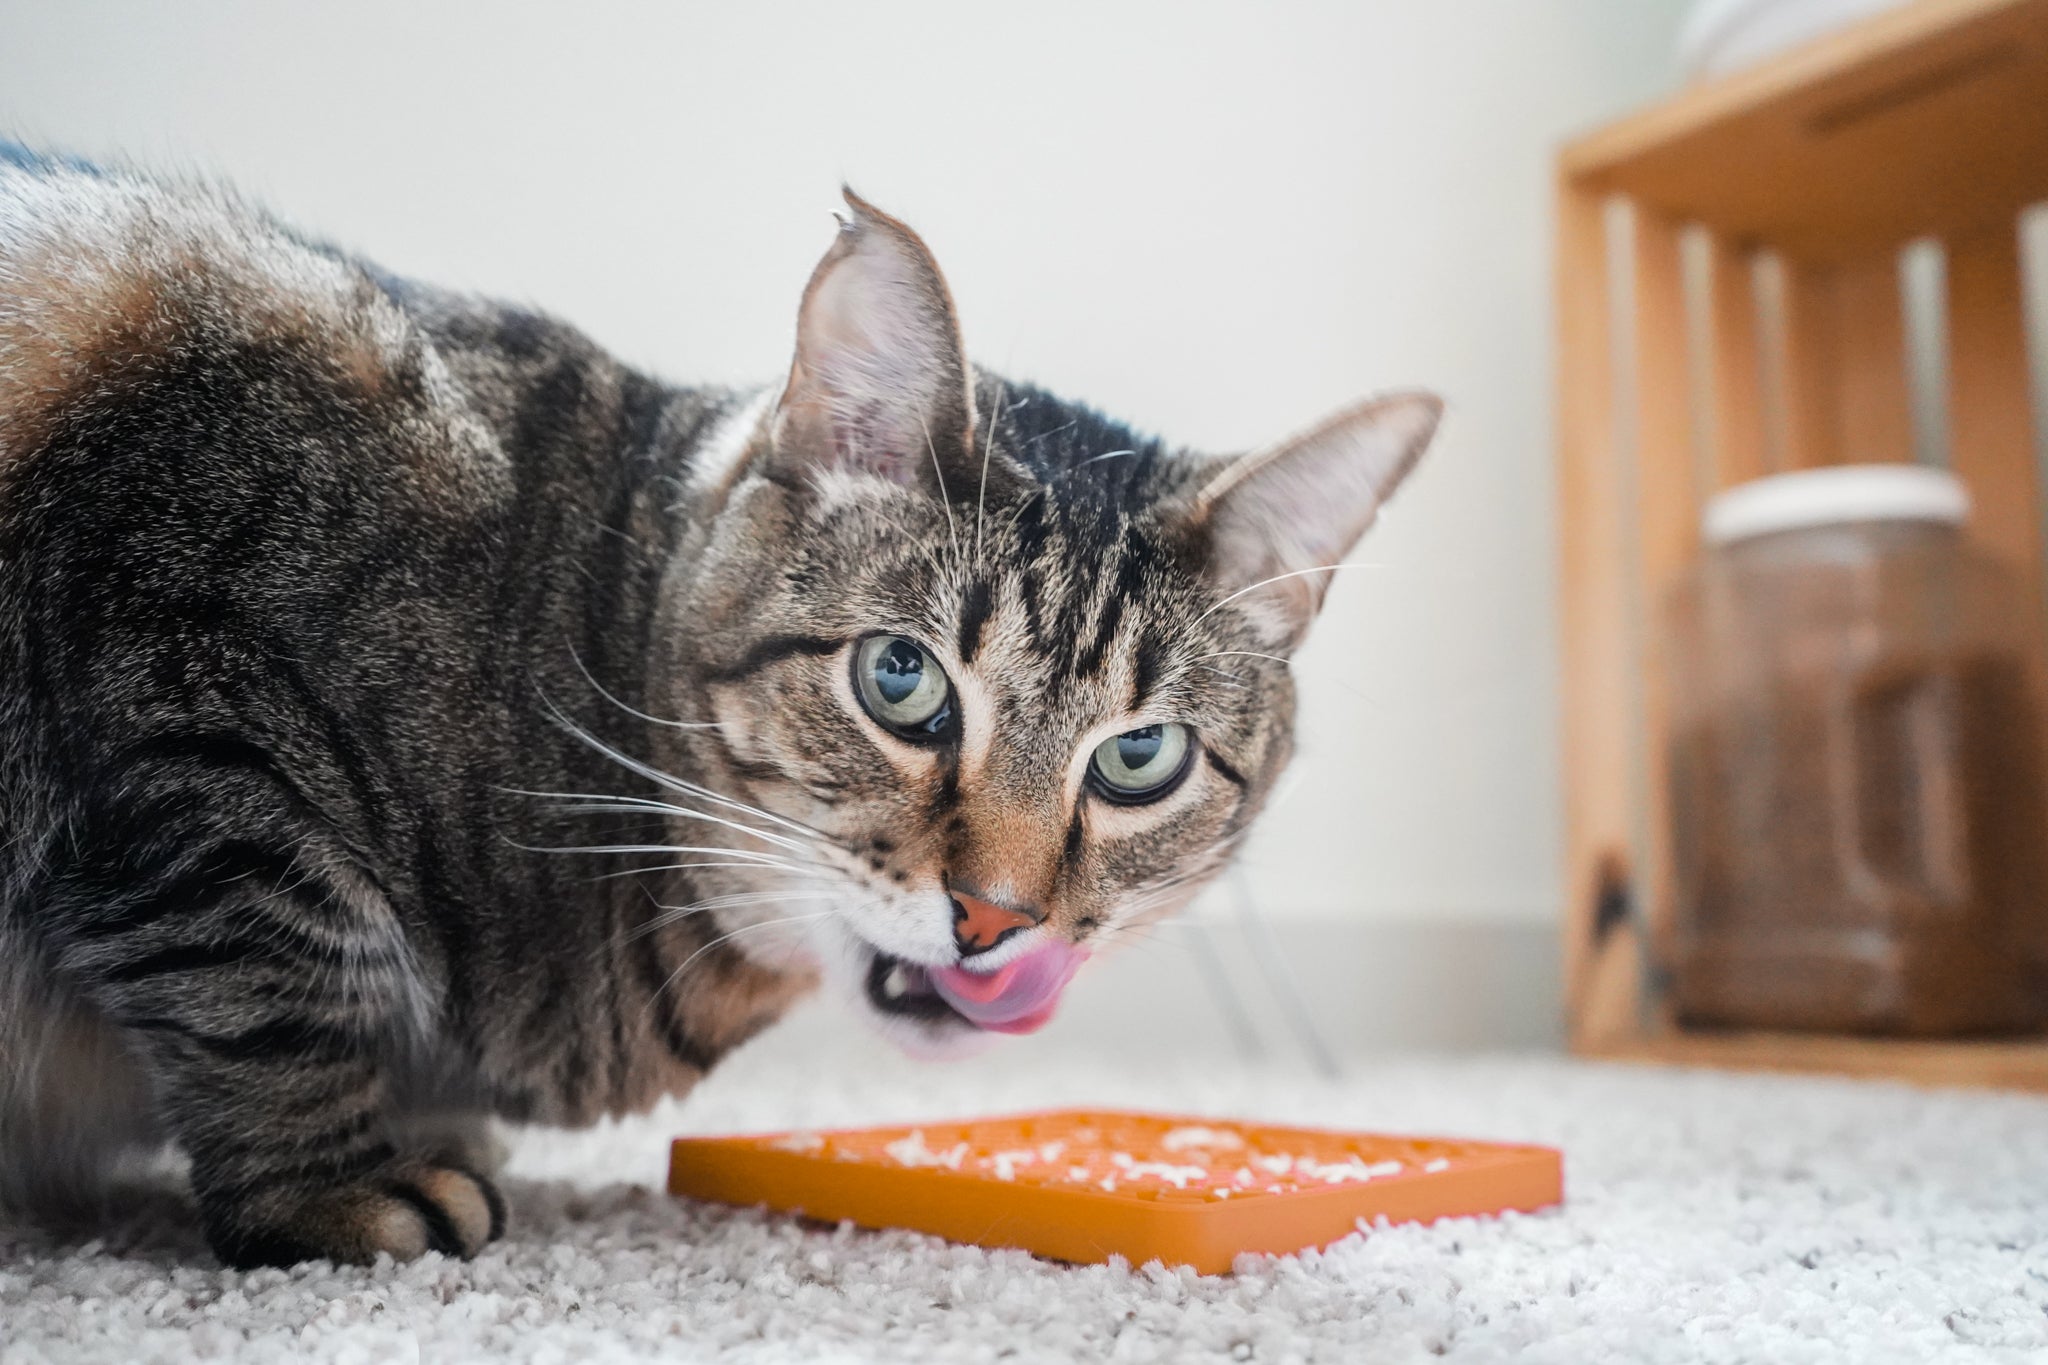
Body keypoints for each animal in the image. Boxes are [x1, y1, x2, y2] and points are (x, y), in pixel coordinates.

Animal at [0, 149, 1441, 1268]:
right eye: (901, 681)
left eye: (1139, 758)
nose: (996, 921)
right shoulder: (196, 707)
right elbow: (266, 972)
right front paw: (333, 1188)